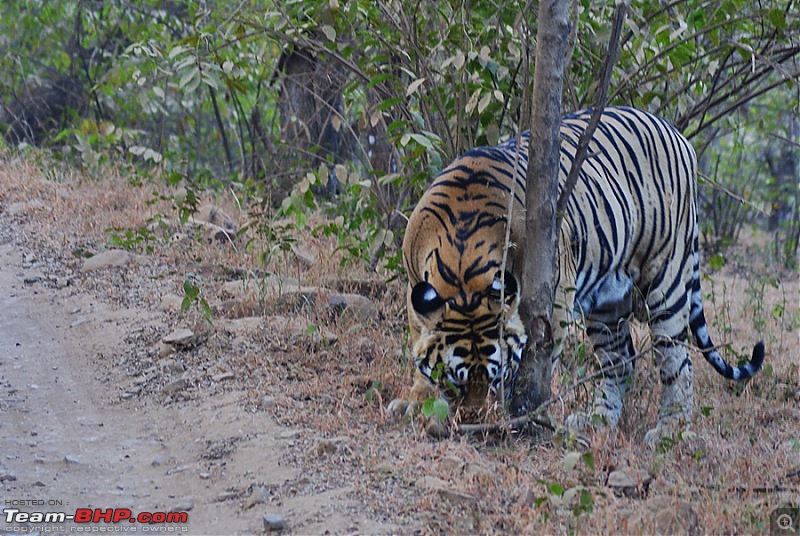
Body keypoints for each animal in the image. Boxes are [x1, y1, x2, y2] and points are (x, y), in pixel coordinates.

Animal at [390, 105, 764, 444]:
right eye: (457, 382)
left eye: (497, 378)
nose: (474, 419)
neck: (462, 267)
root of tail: (677, 133)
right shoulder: (414, 290)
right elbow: (418, 341)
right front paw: (417, 401)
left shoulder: (554, 298)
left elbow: (537, 364)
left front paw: (522, 413)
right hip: (607, 303)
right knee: (620, 362)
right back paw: (597, 419)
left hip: (666, 280)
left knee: (677, 361)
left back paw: (670, 431)